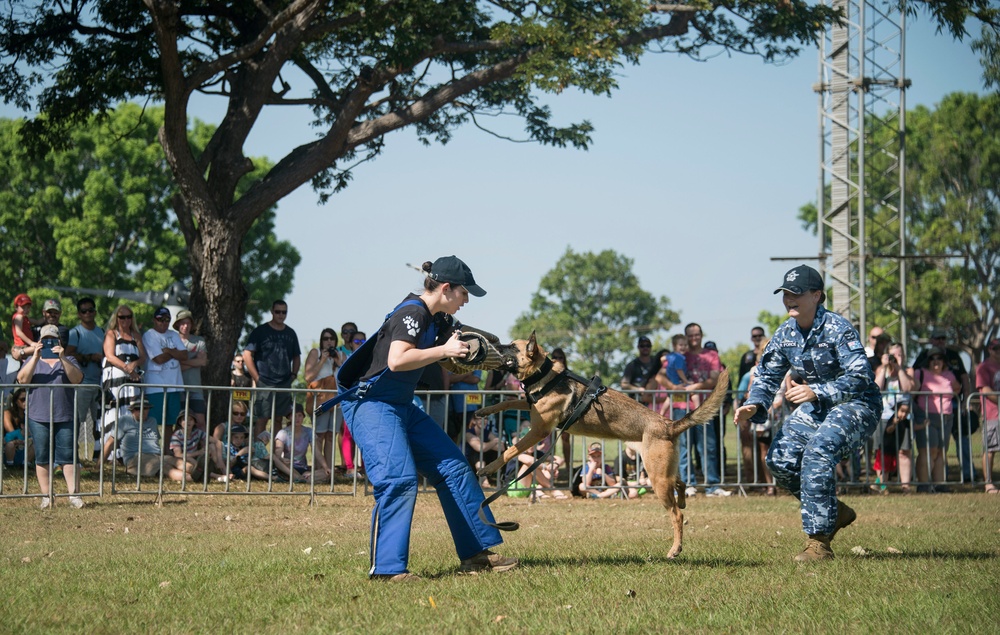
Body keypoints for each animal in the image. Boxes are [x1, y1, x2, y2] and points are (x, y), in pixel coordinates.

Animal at [476, 332, 728, 556]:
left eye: (511, 346)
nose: (491, 343)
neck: (544, 374)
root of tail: (669, 425)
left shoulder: (539, 430)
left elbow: (510, 450)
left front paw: (488, 467)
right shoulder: (532, 410)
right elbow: (509, 402)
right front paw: (485, 410)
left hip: (657, 477)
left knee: (677, 514)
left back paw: (675, 549)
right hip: (660, 470)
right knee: (682, 483)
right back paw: (683, 503)